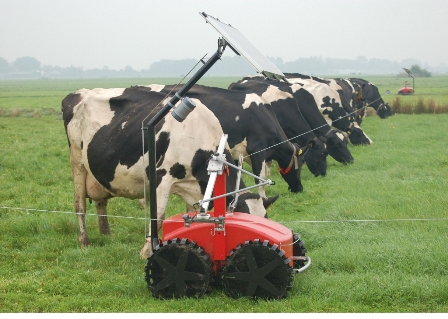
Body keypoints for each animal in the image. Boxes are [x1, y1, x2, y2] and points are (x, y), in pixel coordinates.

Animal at [62, 86, 280, 258]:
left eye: (265, 220)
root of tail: (79, 93)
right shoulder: (162, 177)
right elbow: (158, 217)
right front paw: (146, 251)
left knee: (101, 202)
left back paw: (105, 233)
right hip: (77, 161)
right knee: (79, 205)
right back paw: (84, 240)